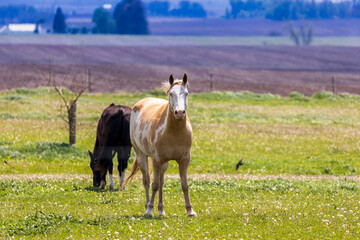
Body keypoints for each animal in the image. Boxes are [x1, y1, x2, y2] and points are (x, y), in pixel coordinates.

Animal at [124, 73, 197, 218]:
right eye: (171, 93)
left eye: (186, 93)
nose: (180, 113)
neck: (173, 132)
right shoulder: (156, 159)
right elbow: (154, 184)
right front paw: (150, 210)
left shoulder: (184, 159)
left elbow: (184, 184)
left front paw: (190, 211)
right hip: (142, 155)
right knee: (147, 180)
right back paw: (148, 207)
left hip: (165, 162)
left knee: (161, 182)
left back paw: (161, 210)